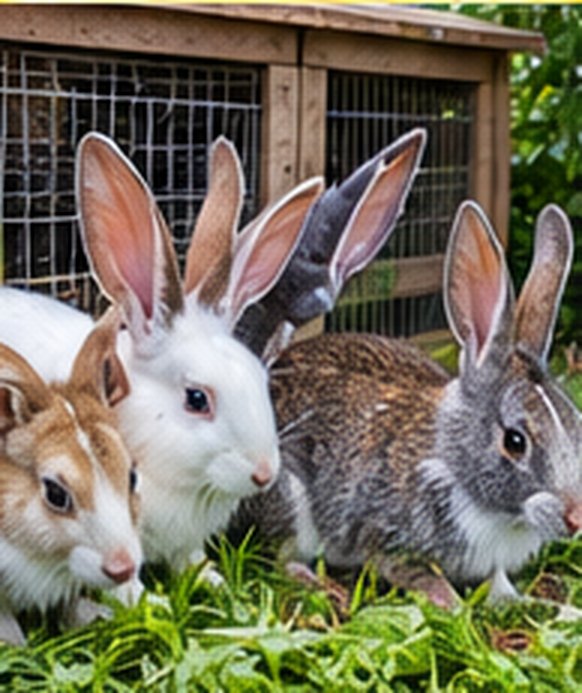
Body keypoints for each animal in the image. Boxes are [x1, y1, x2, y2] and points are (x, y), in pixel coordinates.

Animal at [234, 201, 582, 603]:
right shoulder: (385, 537)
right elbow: (420, 577)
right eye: (515, 441)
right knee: (281, 559)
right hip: (286, 498)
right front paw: (452, 604)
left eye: (577, 425)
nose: (576, 518)